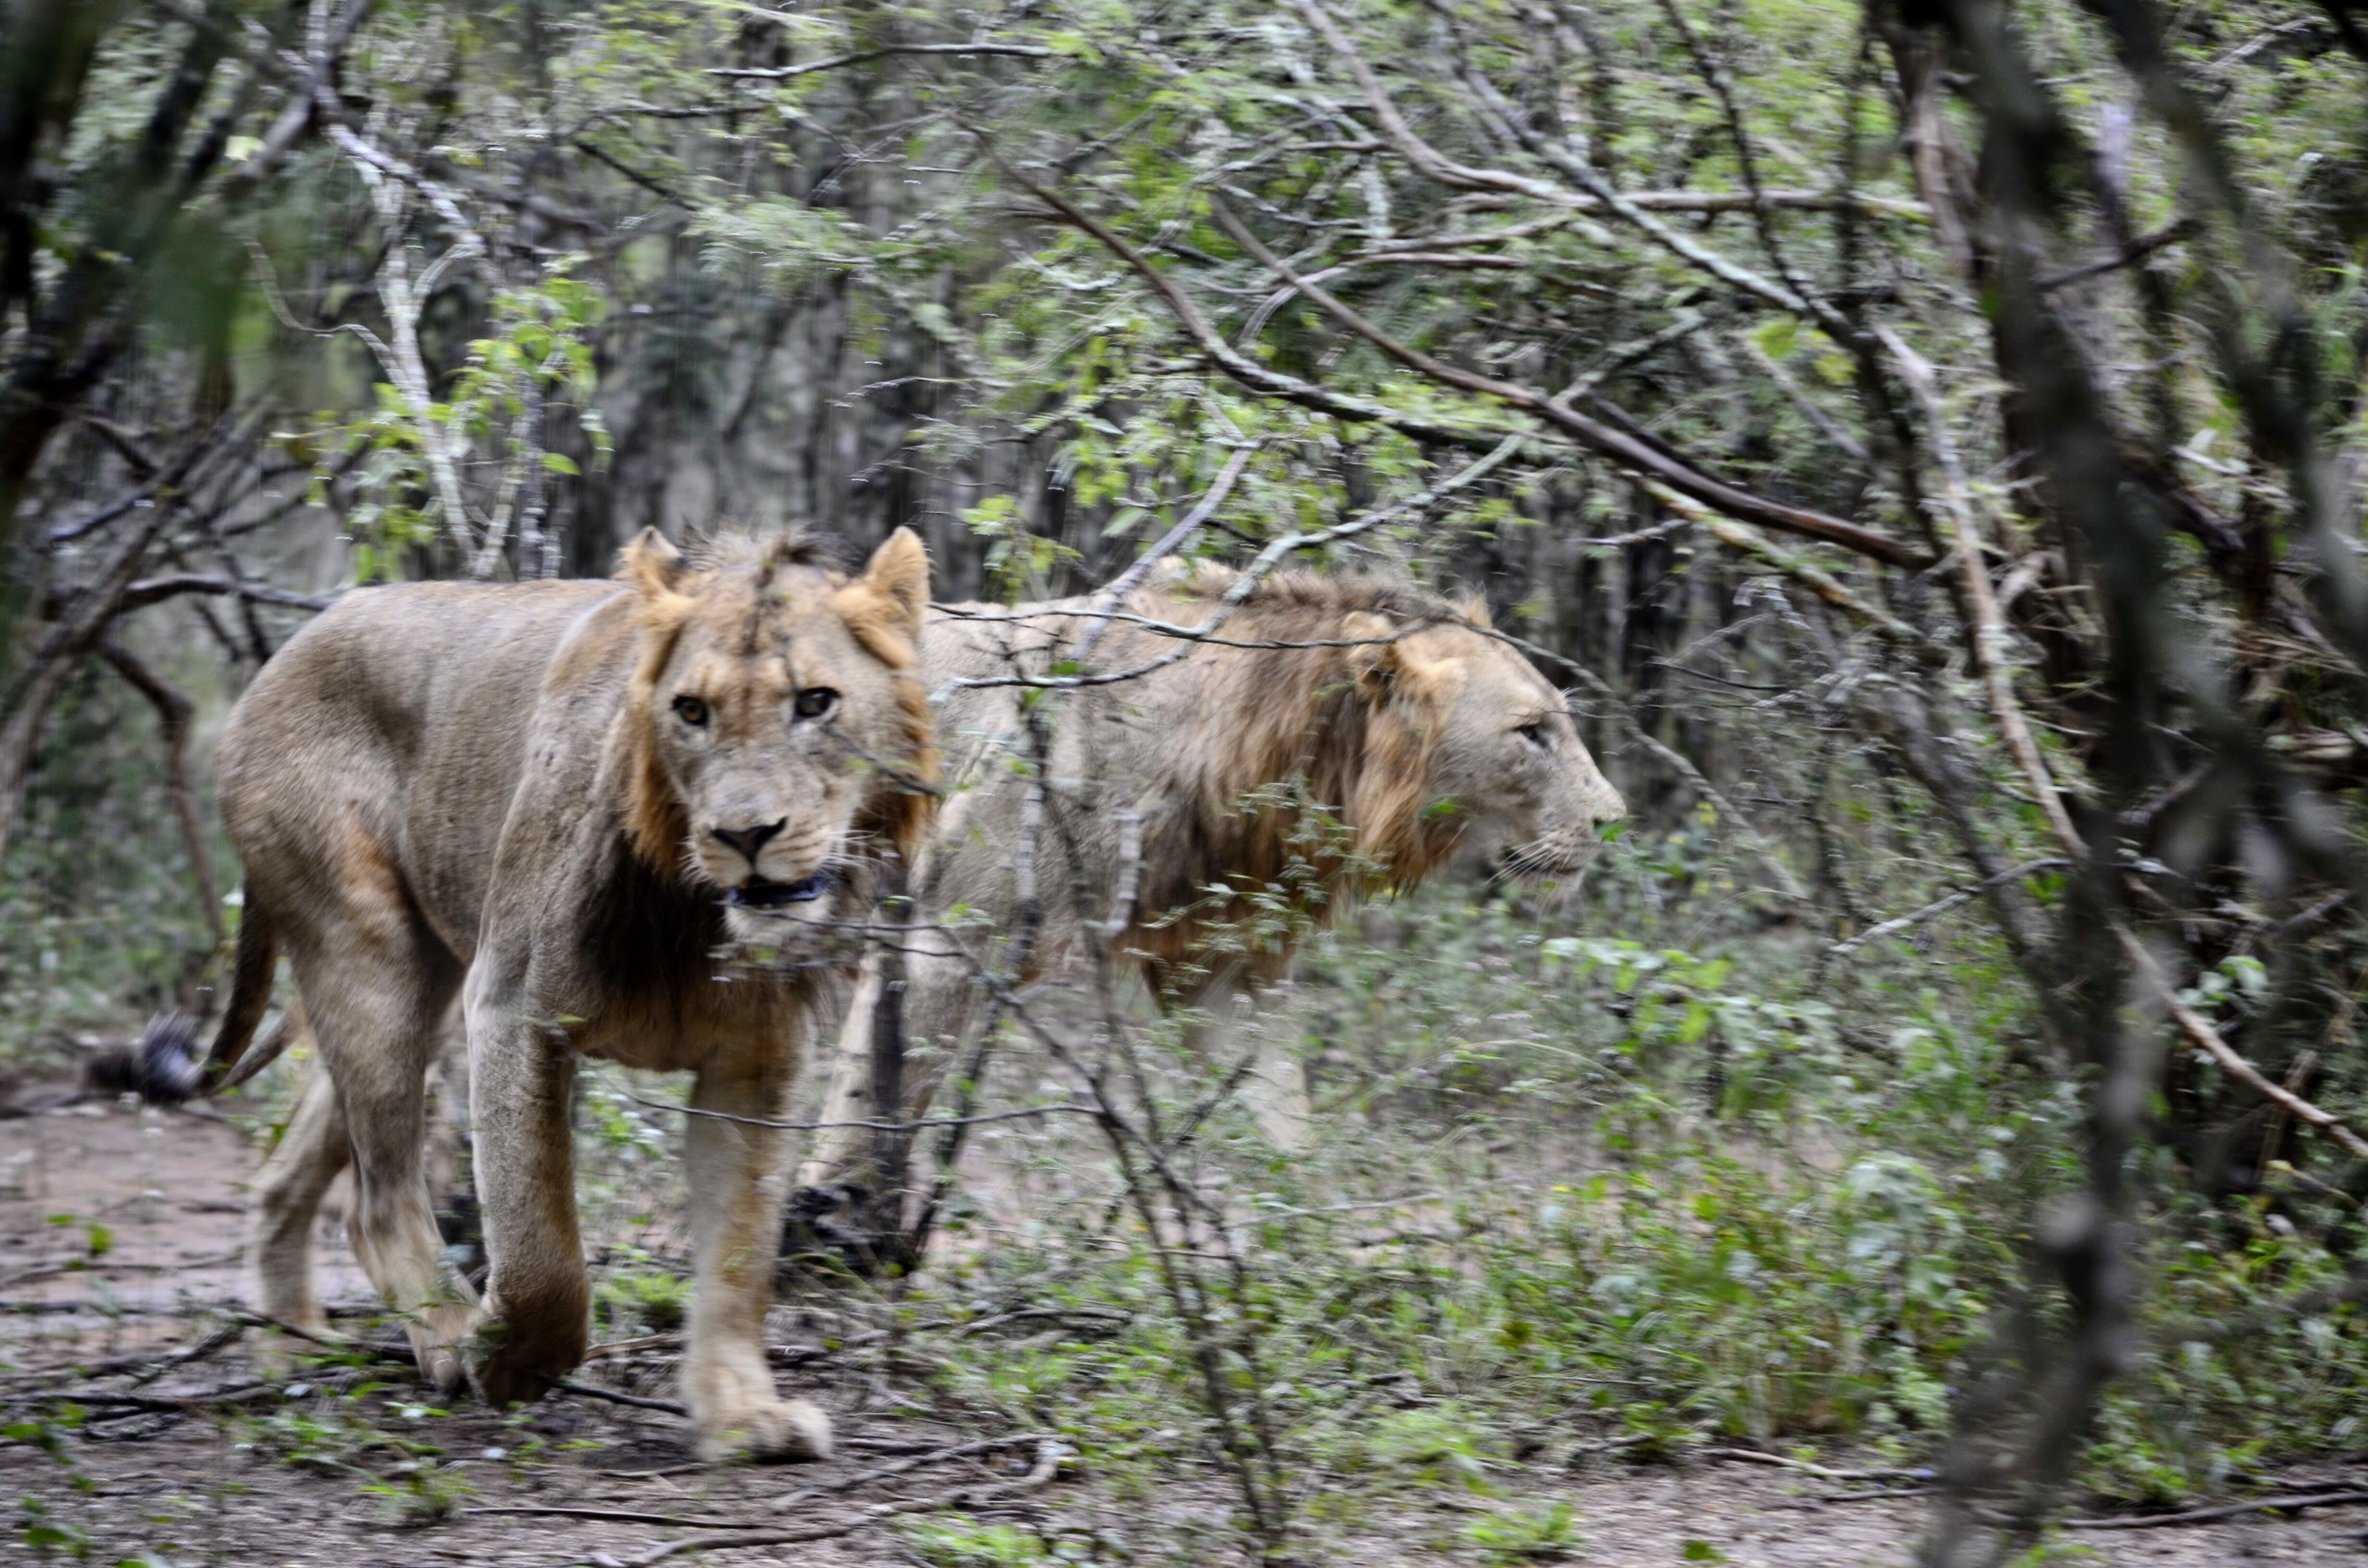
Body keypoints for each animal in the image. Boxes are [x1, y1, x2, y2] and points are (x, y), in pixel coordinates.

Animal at [194, 526, 933, 1461]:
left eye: (815, 702)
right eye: (692, 711)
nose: (745, 834)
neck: (697, 913)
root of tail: (296, 642)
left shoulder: (762, 1063)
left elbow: (739, 1251)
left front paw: (741, 1413)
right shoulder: (515, 1007)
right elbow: (544, 1246)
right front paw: (511, 1360)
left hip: (419, 989)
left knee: (292, 1175)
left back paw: (290, 1347)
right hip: (369, 954)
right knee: (378, 1196)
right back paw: (445, 1334)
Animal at [797, 563, 1624, 1195]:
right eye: (1531, 733)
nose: (1615, 820)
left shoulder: (1221, 964)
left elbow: (1280, 1121)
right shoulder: (943, 935)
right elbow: (871, 1106)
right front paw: (833, 1242)